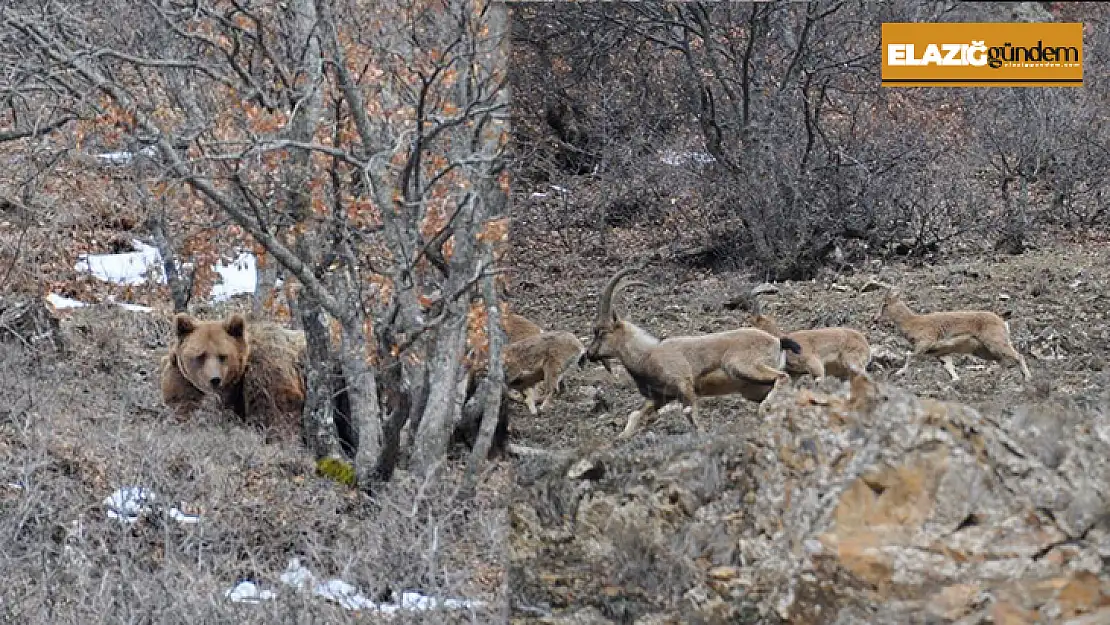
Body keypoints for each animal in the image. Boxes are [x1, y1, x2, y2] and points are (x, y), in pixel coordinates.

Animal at [160, 313, 308, 439]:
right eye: (200, 355)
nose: (214, 380)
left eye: (222, 356)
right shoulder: (182, 378)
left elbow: (276, 407)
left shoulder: (264, 372)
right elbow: (184, 400)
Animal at [590, 267, 799, 439]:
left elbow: (693, 417)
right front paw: (621, 438)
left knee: (783, 377)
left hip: (742, 367)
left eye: (602, 332)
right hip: (752, 389)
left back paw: (765, 409)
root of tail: (777, 342)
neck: (647, 355)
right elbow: (635, 415)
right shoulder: (661, 397)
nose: (590, 354)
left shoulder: (684, 386)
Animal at [874, 286, 1030, 381]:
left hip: (996, 343)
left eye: (885, 304)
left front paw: (899, 372)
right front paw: (956, 380)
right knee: (1002, 361)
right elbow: (949, 367)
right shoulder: (941, 353)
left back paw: (1027, 377)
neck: (912, 322)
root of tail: (1002, 321)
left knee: (1018, 356)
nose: (875, 319)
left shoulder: (925, 343)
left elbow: (909, 356)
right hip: (983, 351)